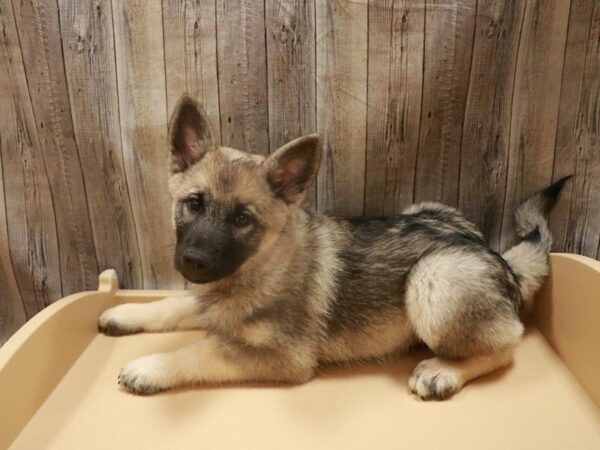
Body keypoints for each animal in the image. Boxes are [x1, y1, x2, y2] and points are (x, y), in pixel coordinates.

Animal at [98, 95, 568, 400]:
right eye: (193, 203)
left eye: (242, 220)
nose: (193, 262)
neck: (263, 264)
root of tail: (500, 260)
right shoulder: (209, 300)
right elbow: (173, 304)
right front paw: (127, 312)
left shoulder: (284, 357)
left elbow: (201, 349)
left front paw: (151, 366)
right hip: (426, 211)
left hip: (434, 278)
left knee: (506, 345)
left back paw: (443, 372)